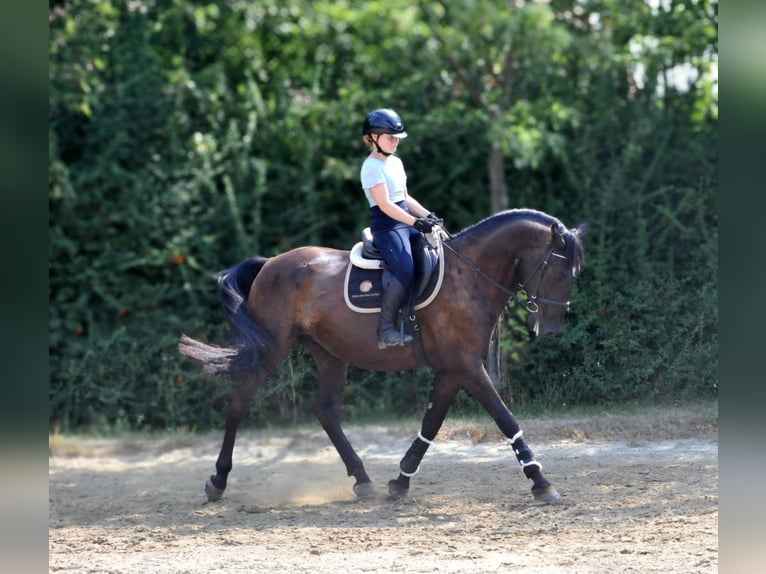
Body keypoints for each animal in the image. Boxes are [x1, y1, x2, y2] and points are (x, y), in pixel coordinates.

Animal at [180, 209, 588, 506]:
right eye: (558, 271)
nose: (549, 329)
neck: (468, 275)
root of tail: (269, 264)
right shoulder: (468, 365)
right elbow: (505, 418)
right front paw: (541, 481)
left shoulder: (454, 367)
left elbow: (431, 423)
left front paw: (400, 481)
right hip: (272, 349)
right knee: (239, 402)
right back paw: (217, 481)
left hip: (329, 353)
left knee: (325, 410)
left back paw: (363, 481)